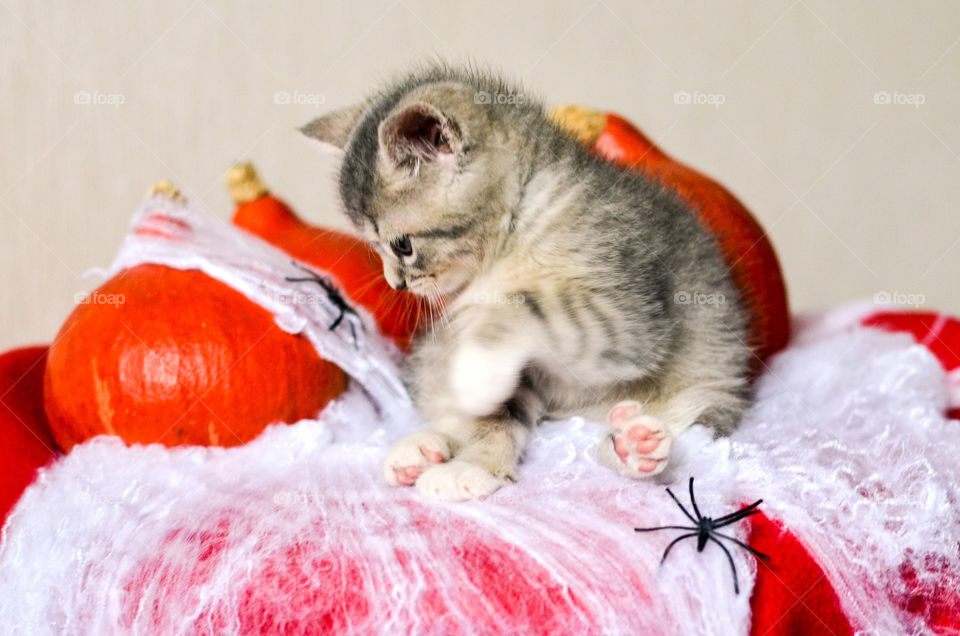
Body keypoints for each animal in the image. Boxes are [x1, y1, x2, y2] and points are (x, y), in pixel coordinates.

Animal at [300, 64, 752, 502]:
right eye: (374, 248)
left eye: (402, 245)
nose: (397, 285)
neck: (514, 232)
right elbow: (495, 415)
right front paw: (476, 465)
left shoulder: (632, 314)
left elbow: (529, 308)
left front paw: (477, 371)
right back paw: (423, 450)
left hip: (708, 383)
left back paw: (632, 445)